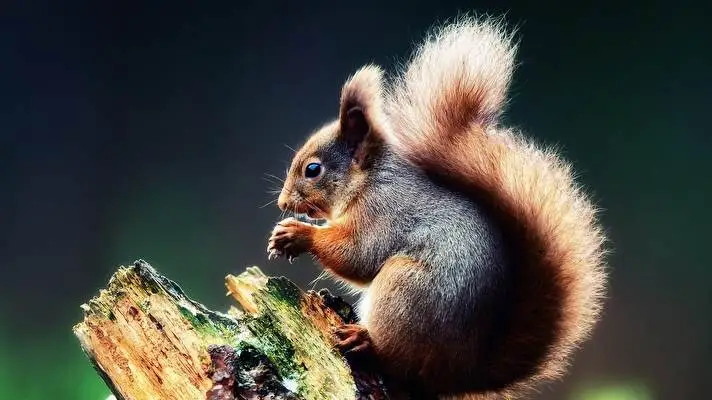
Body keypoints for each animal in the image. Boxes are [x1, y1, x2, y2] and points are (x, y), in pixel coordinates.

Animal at [266, 15, 607, 400]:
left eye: (313, 169)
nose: (282, 203)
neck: (369, 180)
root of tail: (457, 376)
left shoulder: (384, 212)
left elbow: (359, 254)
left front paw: (297, 234)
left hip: (405, 289)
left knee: (394, 357)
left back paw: (362, 339)